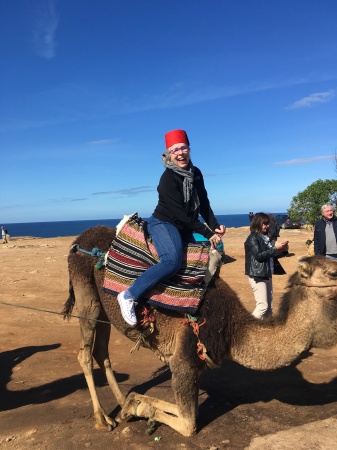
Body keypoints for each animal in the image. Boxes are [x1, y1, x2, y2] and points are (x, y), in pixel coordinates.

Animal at [63, 225, 337, 436]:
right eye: (333, 272)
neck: (233, 331)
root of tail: (78, 241)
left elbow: (177, 409)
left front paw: (133, 403)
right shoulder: (184, 360)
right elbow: (188, 424)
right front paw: (136, 406)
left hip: (104, 310)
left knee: (101, 352)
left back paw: (120, 401)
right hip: (87, 296)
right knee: (84, 353)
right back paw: (102, 420)